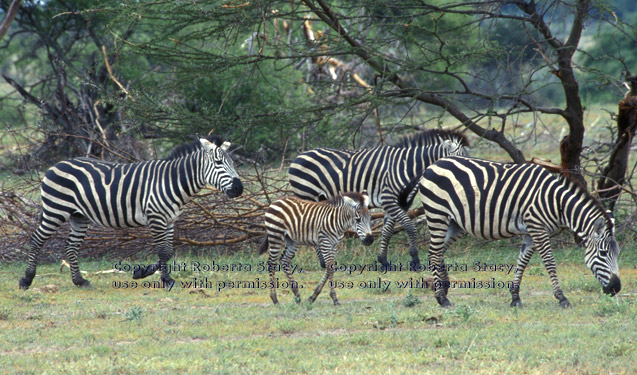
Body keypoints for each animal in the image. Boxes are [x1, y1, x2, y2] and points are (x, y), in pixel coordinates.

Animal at [19, 135, 243, 290]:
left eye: (233, 163)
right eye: (218, 163)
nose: (239, 188)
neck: (172, 181)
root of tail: (55, 165)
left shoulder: (170, 220)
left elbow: (168, 251)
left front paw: (141, 273)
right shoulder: (156, 217)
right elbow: (162, 251)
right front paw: (166, 280)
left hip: (78, 216)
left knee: (71, 246)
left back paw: (80, 281)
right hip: (55, 210)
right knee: (37, 239)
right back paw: (26, 279)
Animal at [288, 129, 468, 270]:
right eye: (457, 158)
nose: (464, 178)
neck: (407, 167)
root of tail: (298, 156)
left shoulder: (398, 203)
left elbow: (387, 231)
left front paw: (383, 261)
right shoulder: (389, 199)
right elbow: (409, 226)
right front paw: (415, 259)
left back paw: (324, 262)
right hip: (307, 193)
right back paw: (323, 263)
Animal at [418, 156, 620, 308]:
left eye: (617, 254)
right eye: (603, 253)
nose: (616, 288)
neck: (555, 202)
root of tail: (433, 164)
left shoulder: (531, 232)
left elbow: (522, 262)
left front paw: (515, 297)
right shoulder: (538, 228)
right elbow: (549, 262)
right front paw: (562, 298)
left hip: (455, 224)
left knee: (437, 252)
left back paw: (444, 288)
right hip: (437, 214)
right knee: (434, 253)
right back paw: (441, 298)